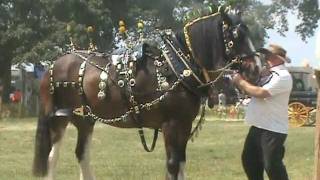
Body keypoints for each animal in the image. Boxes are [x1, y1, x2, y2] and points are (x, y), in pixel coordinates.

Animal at [32, 10, 262, 180]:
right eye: (236, 37)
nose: (257, 68)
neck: (178, 68)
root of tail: (54, 64)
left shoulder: (184, 124)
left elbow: (180, 162)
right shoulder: (171, 125)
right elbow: (172, 164)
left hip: (84, 119)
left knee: (81, 154)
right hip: (58, 118)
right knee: (52, 156)